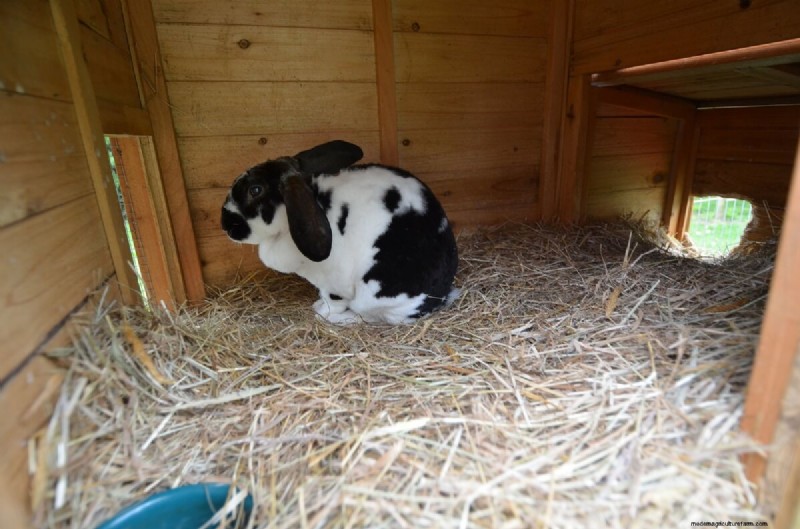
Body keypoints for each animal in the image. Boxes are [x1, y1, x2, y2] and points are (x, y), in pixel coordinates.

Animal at [221, 140, 459, 324]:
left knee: (367, 316)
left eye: (255, 190)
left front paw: (321, 312)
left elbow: (332, 303)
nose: (225, 224)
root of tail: (438, 298)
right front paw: (317, 305)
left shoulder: (333, 284)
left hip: (373, 298)